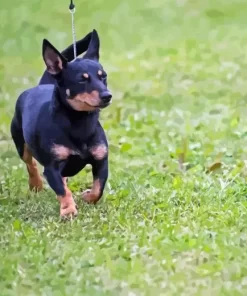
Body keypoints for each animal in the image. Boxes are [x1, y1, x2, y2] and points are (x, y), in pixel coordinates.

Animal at [10, 30, 112, 217]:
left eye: (104, 77)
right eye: (82, 80)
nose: (107, 95)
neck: (79, 123)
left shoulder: (101, 161)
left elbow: (98, 188)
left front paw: (87, 197)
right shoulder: (52, 168)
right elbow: (62, 191)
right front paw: (68, 211)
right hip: (20, 143)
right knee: (30, 164)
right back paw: (36, 184)